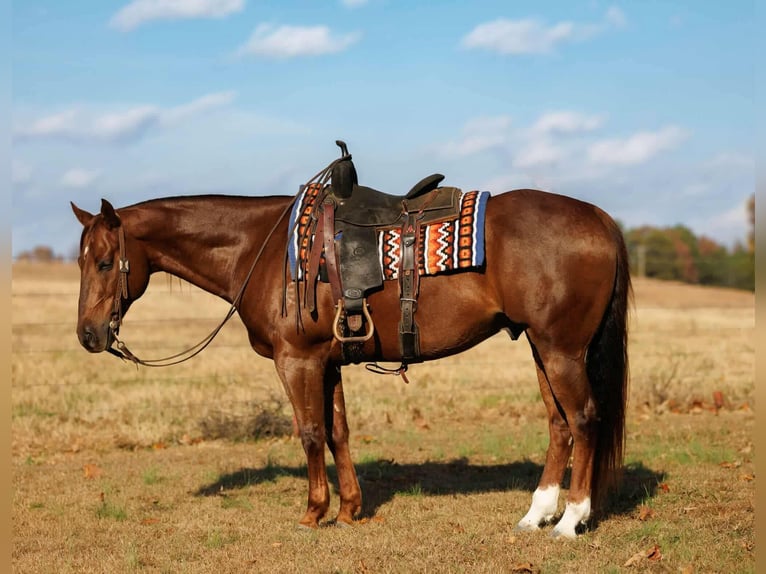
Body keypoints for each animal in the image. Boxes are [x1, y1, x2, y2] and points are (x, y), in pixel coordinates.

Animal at [70, 184, 630, 539]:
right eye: (81, 261)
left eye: (106, 262)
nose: (88, 335)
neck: (262, 249)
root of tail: (600, 218)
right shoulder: (329, 361)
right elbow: (338, 431)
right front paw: (348, 510)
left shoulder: (296, 361)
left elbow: (310, 433)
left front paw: (314, 512)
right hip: (541, 348)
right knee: (559, 425)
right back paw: (536, 515)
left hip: (561, 350)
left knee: (584, 420)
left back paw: (570, 521)